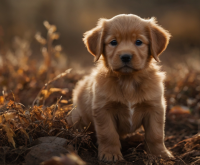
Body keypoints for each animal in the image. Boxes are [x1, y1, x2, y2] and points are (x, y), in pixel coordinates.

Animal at [66, 13, 173, 161]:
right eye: (113, 42)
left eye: (138, 42)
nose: (125, 56)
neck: (128, 81)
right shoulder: (103, 110)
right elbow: (108, 134)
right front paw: (110, 154)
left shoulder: (155, 108)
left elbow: (155, 134)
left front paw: (160, 154)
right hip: (78, 118)